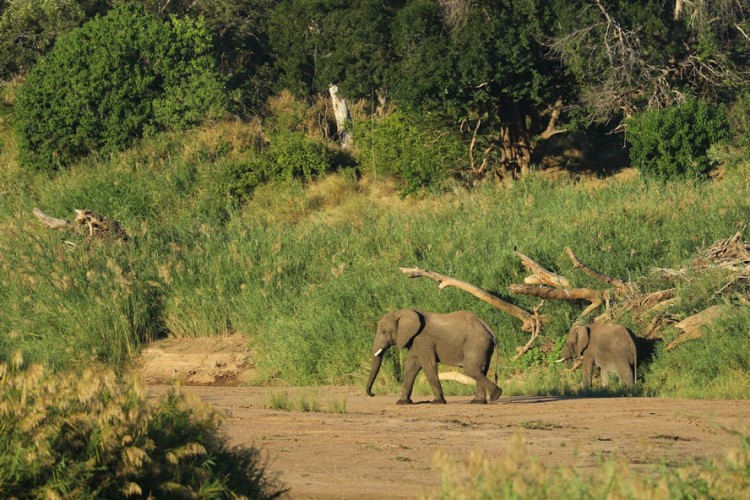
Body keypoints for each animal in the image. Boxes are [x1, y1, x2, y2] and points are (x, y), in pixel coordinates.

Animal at [366, 306, 502, 404]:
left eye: (384, 331)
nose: (373, 394)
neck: (402, 313)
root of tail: (491, 332)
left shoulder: (423, 340)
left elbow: (428, 365)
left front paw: (438, 402)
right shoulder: (414, 341)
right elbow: (411, 368)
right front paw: (402, 402)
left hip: (476, 344)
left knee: (471, 370)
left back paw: (496, 395)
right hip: (482, 346)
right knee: (481, 370)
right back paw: (478, 402)